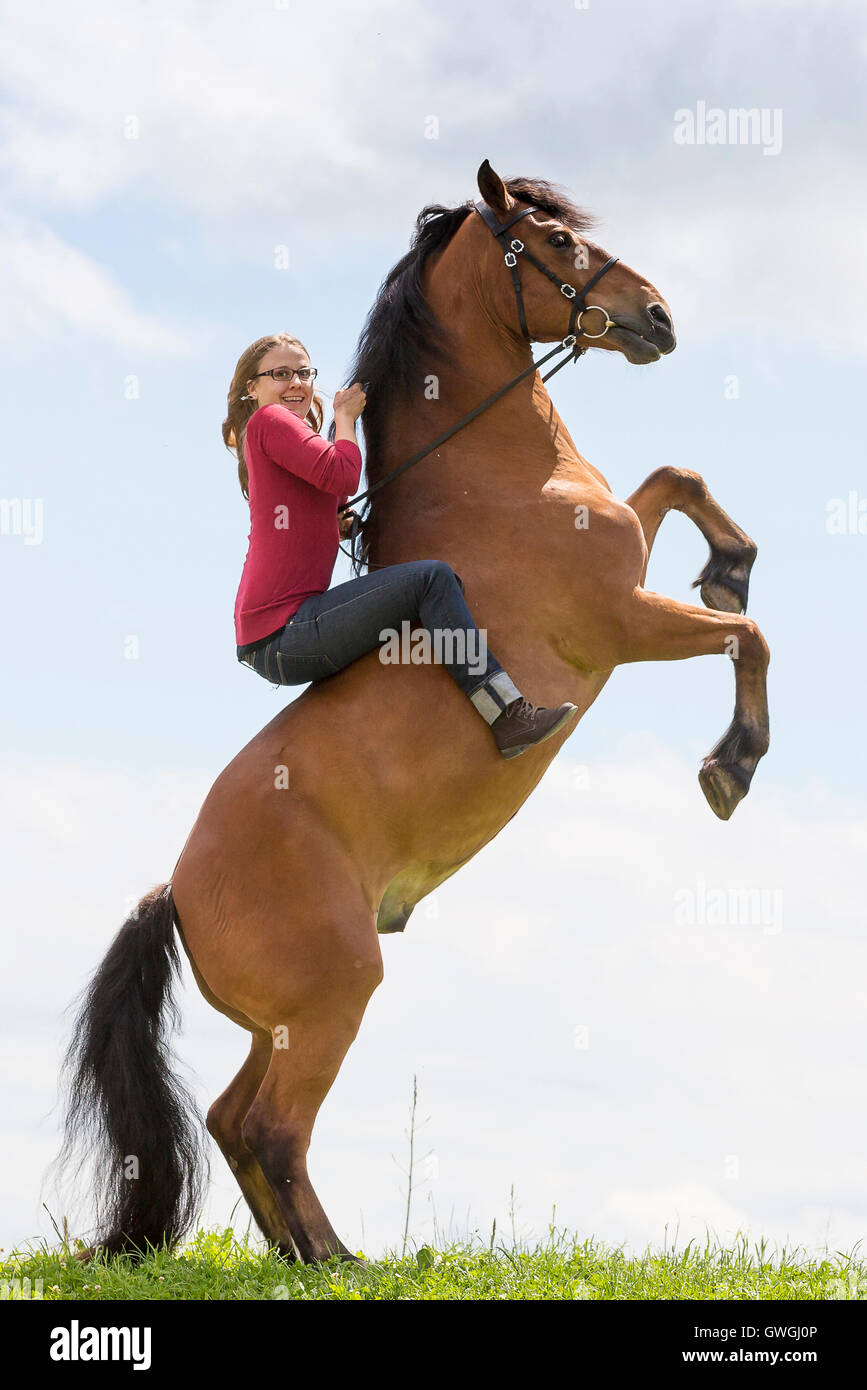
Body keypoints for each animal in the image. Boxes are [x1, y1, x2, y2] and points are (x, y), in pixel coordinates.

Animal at [56, 160, 769, 1266]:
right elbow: (749, 637)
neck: (505, 477)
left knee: (232, 1119)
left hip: (284, 1021)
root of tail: (174, 892)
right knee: (274, 1126)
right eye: (554, 241)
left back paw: (306, 1260)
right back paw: (337, 1263)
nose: (656, 316)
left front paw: (731, 559)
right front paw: (729, 766)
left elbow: (678, 479)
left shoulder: (629, 552)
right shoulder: (624, 620)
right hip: (338, 992)